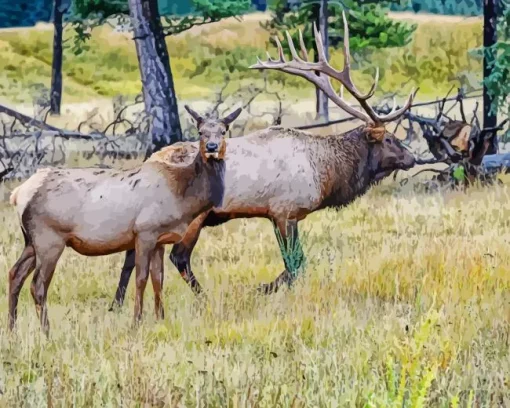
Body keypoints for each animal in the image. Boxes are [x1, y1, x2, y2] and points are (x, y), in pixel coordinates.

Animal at [7, 105, 243, 334]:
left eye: (224, 131)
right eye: (201, 132)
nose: (212, 147)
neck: (182, 195)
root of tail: (18, 194)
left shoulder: (160, 239)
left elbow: (158, 279)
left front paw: (161, 319)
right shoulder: (145, 232)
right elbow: (141, 279)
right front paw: (136, 323)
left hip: (31, 241)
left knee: (14, 274)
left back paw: (11, 330)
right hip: (49, 238)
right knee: (38, 285)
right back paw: (47, 333)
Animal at [108, 11, 422, 308]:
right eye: (389, 139)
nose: (413, 157)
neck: (326, 172)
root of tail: (149, 161)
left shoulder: (277, 214)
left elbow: (293, 262)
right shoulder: (285, 211)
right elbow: (295, 262)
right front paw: (262, 290)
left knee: (132, 254)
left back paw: (116, 304)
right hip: (190, 218)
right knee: (178, 257)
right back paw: (203, 298)